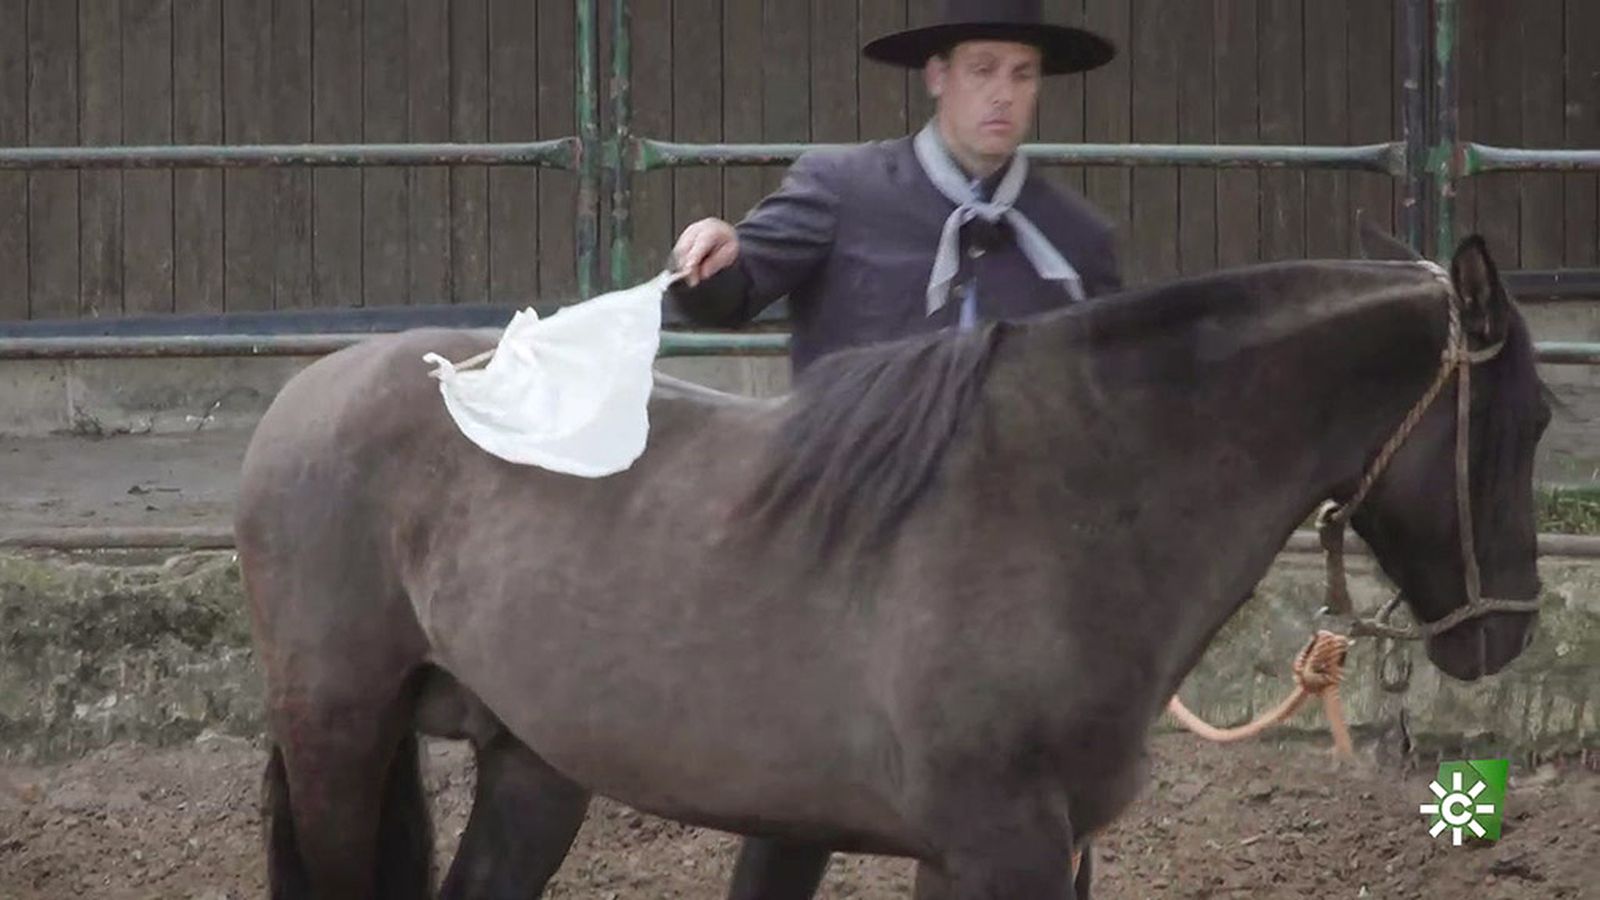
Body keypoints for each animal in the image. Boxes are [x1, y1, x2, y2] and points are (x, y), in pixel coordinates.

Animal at [236, 233, 1549, 899]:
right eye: (1532, 417)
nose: (1511, 629)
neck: (1069, 499)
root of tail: (313, 390)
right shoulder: (1000, 846)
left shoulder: (1024, 849)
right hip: (340, 735)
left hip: (531, 765)